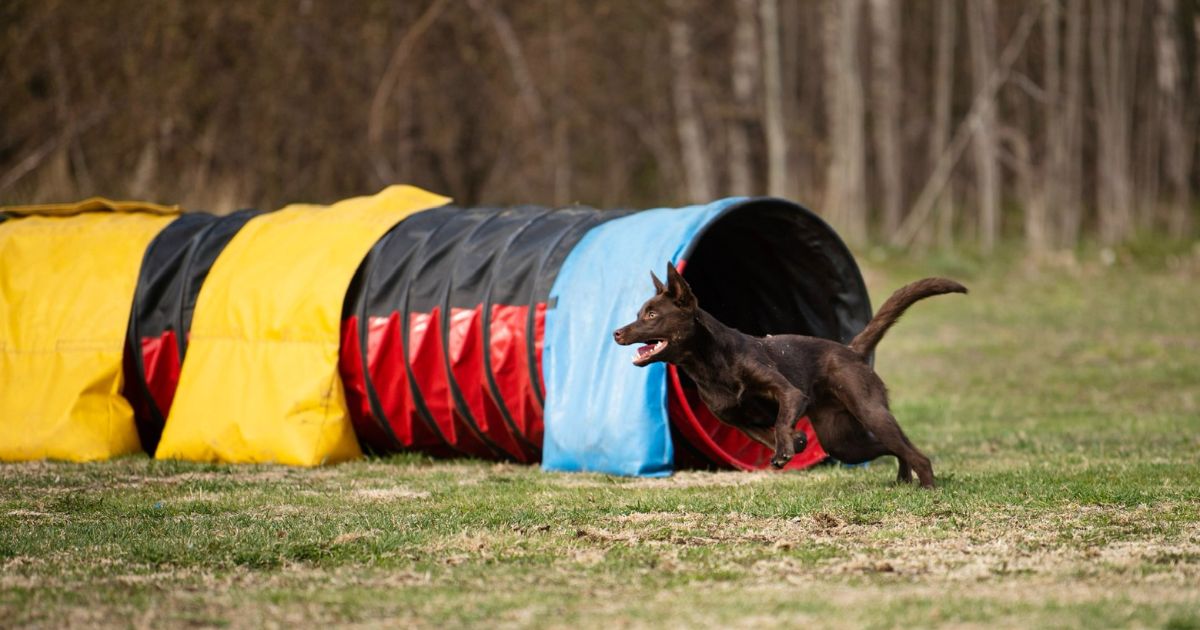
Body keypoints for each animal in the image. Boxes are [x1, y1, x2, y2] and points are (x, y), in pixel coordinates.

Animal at [614, 261, 960, 487]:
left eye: (652, 315)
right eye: (639, 313)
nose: (617, 333)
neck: (708, 364)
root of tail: (852, 350)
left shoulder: (789, 393)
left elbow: (782, 420)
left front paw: (785, 448)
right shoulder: (741, 422)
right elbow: (777, 434)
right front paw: (795, 443)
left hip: (870, 412)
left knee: (915, 453)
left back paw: (926, 487)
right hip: (842, 442)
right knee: (896, 449)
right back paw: (903, 479)